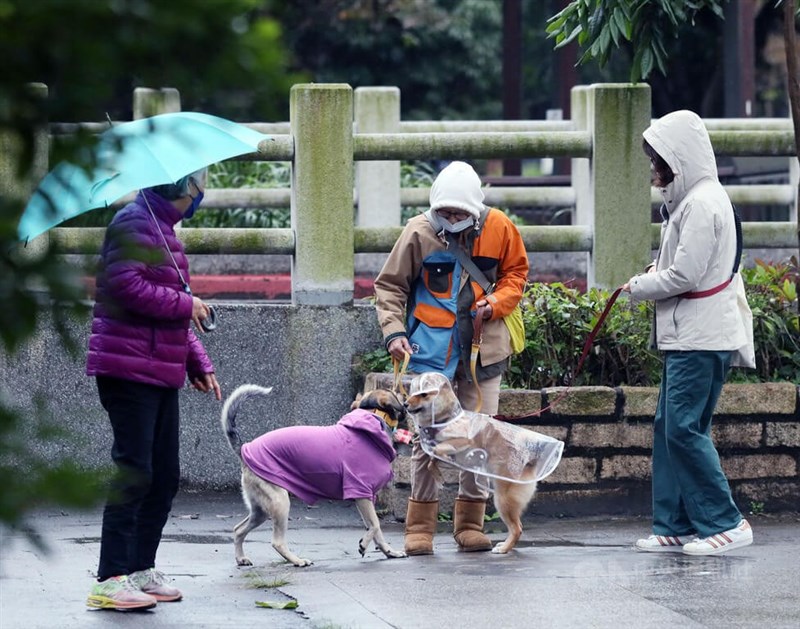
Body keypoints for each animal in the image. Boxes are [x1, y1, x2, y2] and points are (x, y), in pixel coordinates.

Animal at [406, 370, 564, 552]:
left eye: (424, 394)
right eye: (412, 393)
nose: (404, 404)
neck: (448, 418)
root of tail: (529, 462)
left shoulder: (463, 442)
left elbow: (439, 450)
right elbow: (432, 459)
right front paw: (437, 473)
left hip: (503, 501)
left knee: (517, 528)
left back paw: (503, 549)